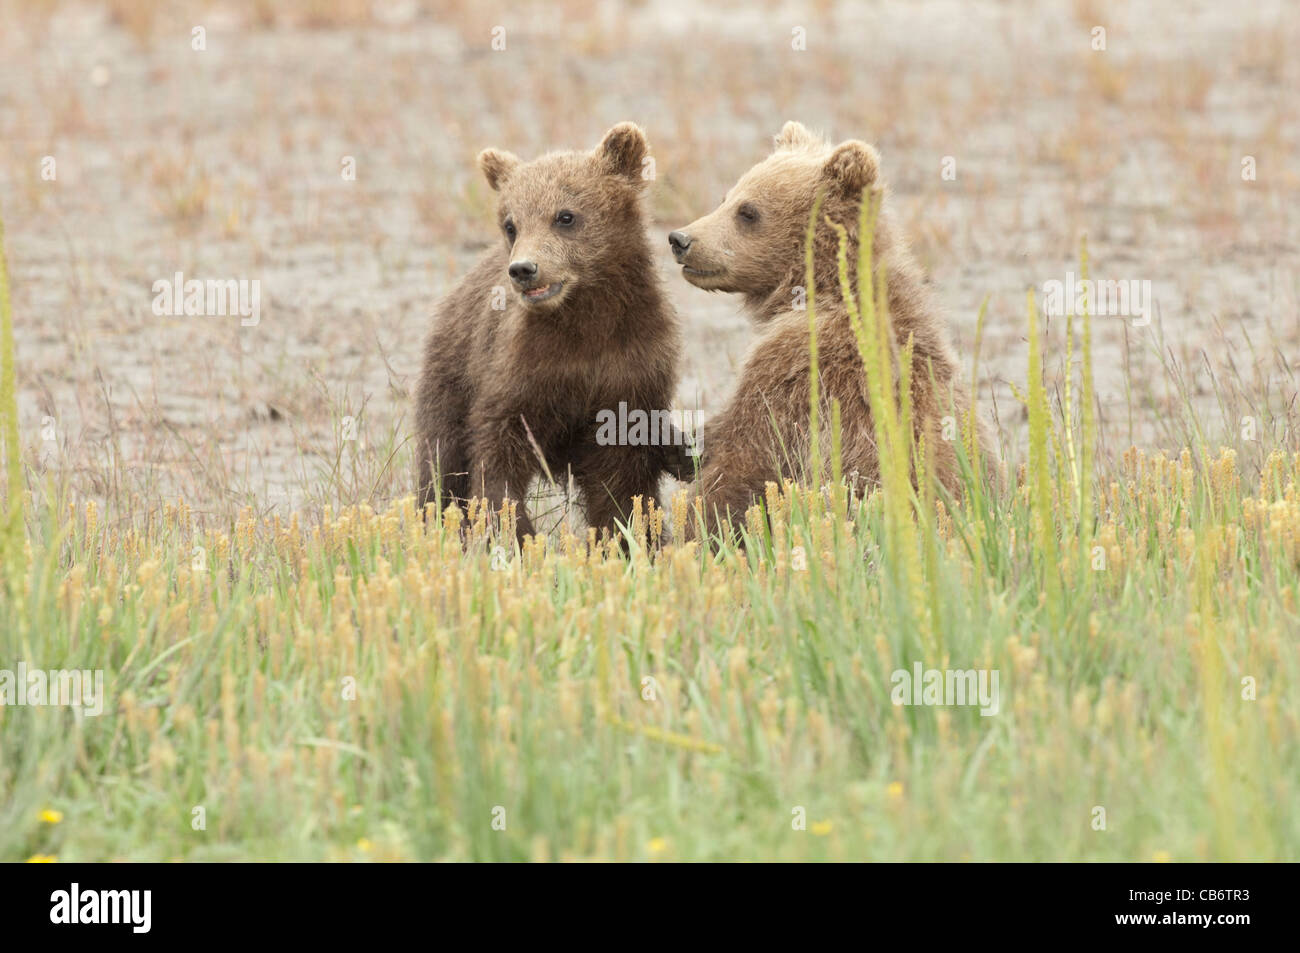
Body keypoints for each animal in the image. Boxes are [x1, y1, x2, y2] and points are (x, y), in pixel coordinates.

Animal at [414, 123, 687, 545]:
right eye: (511, 224)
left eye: (565, 216)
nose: (524, 269)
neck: (583, 319)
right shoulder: (521, 369)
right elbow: (496, 457)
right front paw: (514, 532)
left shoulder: (630, 367)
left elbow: (621, 480)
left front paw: (627, 537)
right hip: (451, 374)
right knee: (440, 460)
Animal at [667, 121, 997, 538]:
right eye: (726, 197)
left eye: (748, 212)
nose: (680, 239)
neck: (820, 289)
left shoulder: (802, 366)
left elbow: (746, 453)